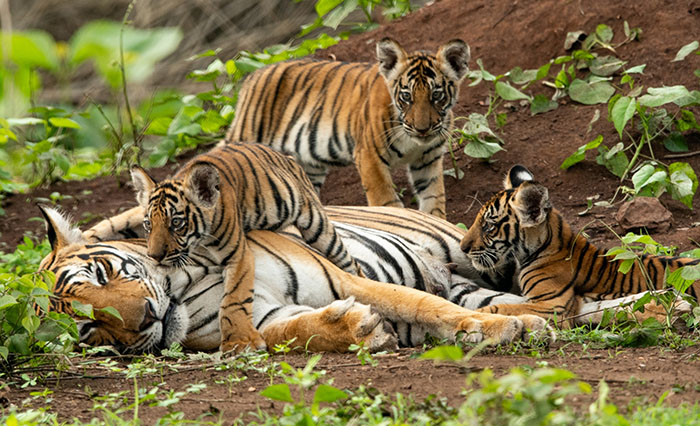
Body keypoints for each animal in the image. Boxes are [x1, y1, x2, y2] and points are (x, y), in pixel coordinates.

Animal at [39, 206, 549, 353]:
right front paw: (359, 329)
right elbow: (296, 331)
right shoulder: (257, 323)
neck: (182, 287)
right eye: (89, 329)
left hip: (468, 252)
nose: (145, 317)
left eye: (102, 273)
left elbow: (423, 305)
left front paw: (494, 331)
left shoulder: (347, 279)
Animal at [107, 142, 364, 353]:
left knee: (351, 264)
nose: (155, 256)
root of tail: (285, 157)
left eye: (176, 223)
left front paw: (238, 342)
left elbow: (233, 298)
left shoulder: (237, 255)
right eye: (148, 225)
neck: (199, 245)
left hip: (317, 225)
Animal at [225, 38, 471, 219]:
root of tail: (252, 76)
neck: (413, 140)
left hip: (309, 165)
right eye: (406, 96)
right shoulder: (369, 156)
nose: (422, 129)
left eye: (436, 95)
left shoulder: (427, 160)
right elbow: (385, 199)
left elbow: (434, 197)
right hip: (247, 137)